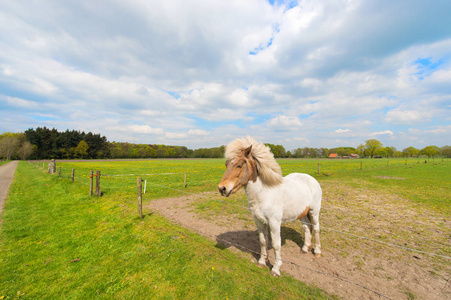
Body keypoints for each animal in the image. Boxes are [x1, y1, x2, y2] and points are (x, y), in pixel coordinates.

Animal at [218, 136, 322, 276]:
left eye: (239, 165)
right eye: (226, 164)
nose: (222, 188)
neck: (264, 193)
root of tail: (311, 179)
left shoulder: (274, 222)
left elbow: (276, 244)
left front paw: (276, 269)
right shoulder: (259, 221)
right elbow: (263, 241)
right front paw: (262, 262)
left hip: (313, 211)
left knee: (316, 228)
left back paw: (317, 252)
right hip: (302, 213)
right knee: (307, 228)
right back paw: (305, 248)